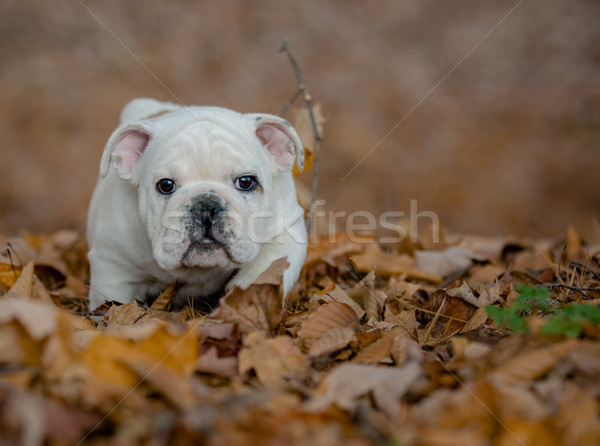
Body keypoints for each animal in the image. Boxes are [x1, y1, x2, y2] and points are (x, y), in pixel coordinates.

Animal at [86, 97, 308, 310]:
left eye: (246, 182)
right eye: (165, 185)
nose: (206, 207)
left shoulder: (286, 229)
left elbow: (263, 271)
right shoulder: (113, 270)